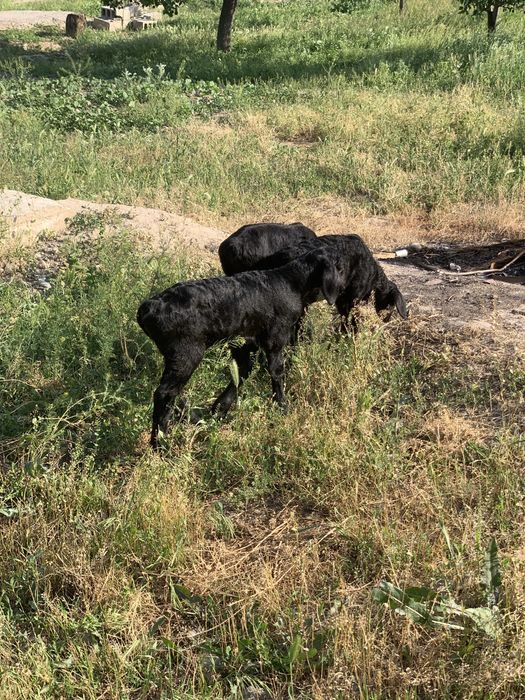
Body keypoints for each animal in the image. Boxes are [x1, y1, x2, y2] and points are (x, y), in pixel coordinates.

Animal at [137, 247, 349, 449]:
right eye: (339, 268)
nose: (344, 287)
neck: (292, 283)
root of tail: (148, 309)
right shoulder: (275, 337)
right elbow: (276, 372)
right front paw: (282, 407)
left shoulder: (246, 342)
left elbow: (241, 372)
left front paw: (219, 410)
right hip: (186, 351)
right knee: (164, 393)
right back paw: (160, 443)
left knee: (174, 392)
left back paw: (190, 418)